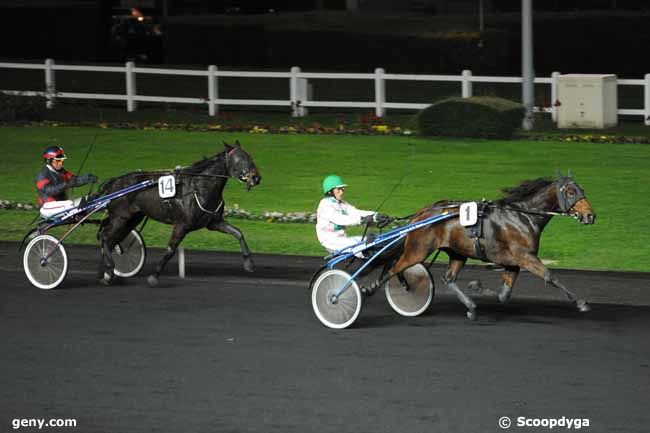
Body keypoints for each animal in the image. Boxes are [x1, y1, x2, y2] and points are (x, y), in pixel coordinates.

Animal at [95, 140, 260, 286]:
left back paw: (106, 272)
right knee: (105, 237)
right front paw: (154, 277)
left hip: (132, 219)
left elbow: (238, 233)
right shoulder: (182, 225)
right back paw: (109, 271)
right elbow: (170, 250)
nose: (256, 177)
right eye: (239, 159)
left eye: (250, 157)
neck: (199, 188)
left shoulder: (214, 222)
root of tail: (113, 182)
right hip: (120, 218)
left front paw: (249, 263)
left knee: (111, 240)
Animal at [364, 173, 592, 320]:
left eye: (582, 189)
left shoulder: (513, 263)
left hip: (458, 252)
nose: (591, 215)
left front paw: (476, 287)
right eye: (570, 191)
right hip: (418, 250)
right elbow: (550, 276)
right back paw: (370, 289)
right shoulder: (525, 257)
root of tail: (422, 213)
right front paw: (581, 302)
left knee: (447, 278)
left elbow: (504, 295)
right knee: (394, 268)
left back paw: (471, 307)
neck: (523, 217)